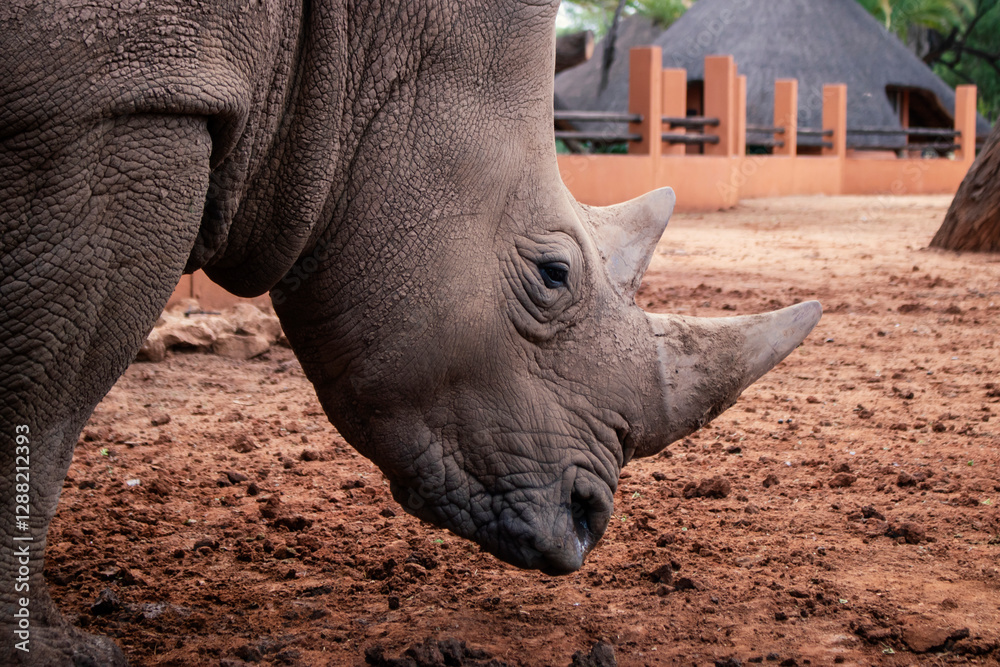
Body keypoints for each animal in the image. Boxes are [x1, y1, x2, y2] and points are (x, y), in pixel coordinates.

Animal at [0, 0, 820, 664]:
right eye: (554, 274)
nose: (589, 520)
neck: (355, 38)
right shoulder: (123, 100)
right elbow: (47, 403)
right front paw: (59, 653)